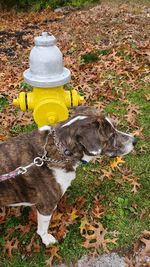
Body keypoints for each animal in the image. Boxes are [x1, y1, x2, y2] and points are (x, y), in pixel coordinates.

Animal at [0, 107, 136, 247]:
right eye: (111, 135)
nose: (134, 141)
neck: (60, 150)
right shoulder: (46, 206)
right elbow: (42, 228)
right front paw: (46, 239)